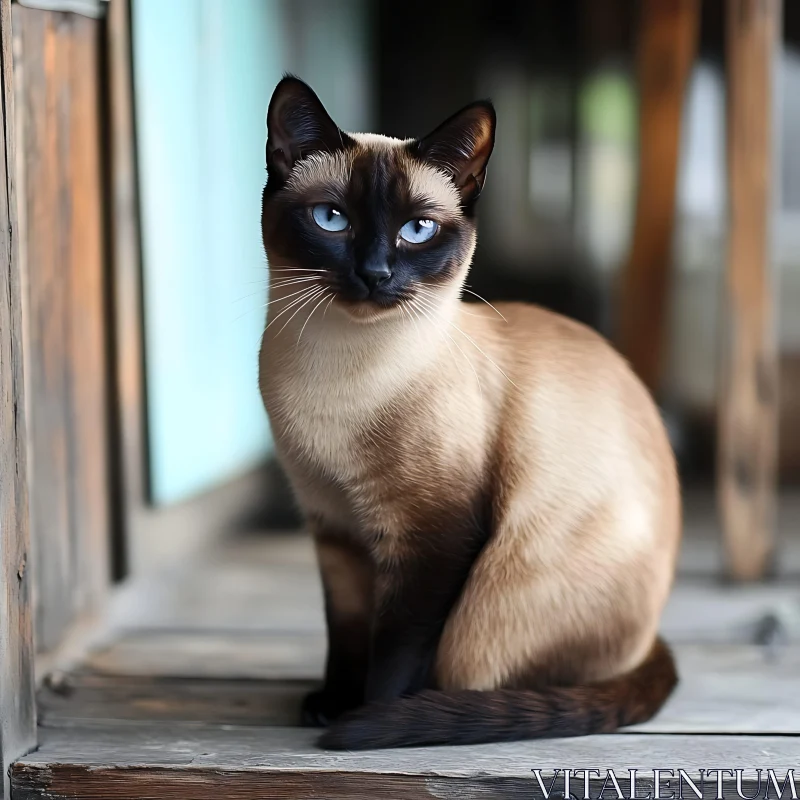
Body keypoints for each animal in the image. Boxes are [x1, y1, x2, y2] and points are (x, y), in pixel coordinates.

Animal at [258, 76, 680, 752]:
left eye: (418, 230)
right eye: (332, 219)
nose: (375, 274)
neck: (332, 381)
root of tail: (648, 644)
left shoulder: (432, 540)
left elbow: (393, 653)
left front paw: (368, 719)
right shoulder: (335, 527)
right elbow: (346, 635)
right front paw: (332, 704)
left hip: (489, 606)